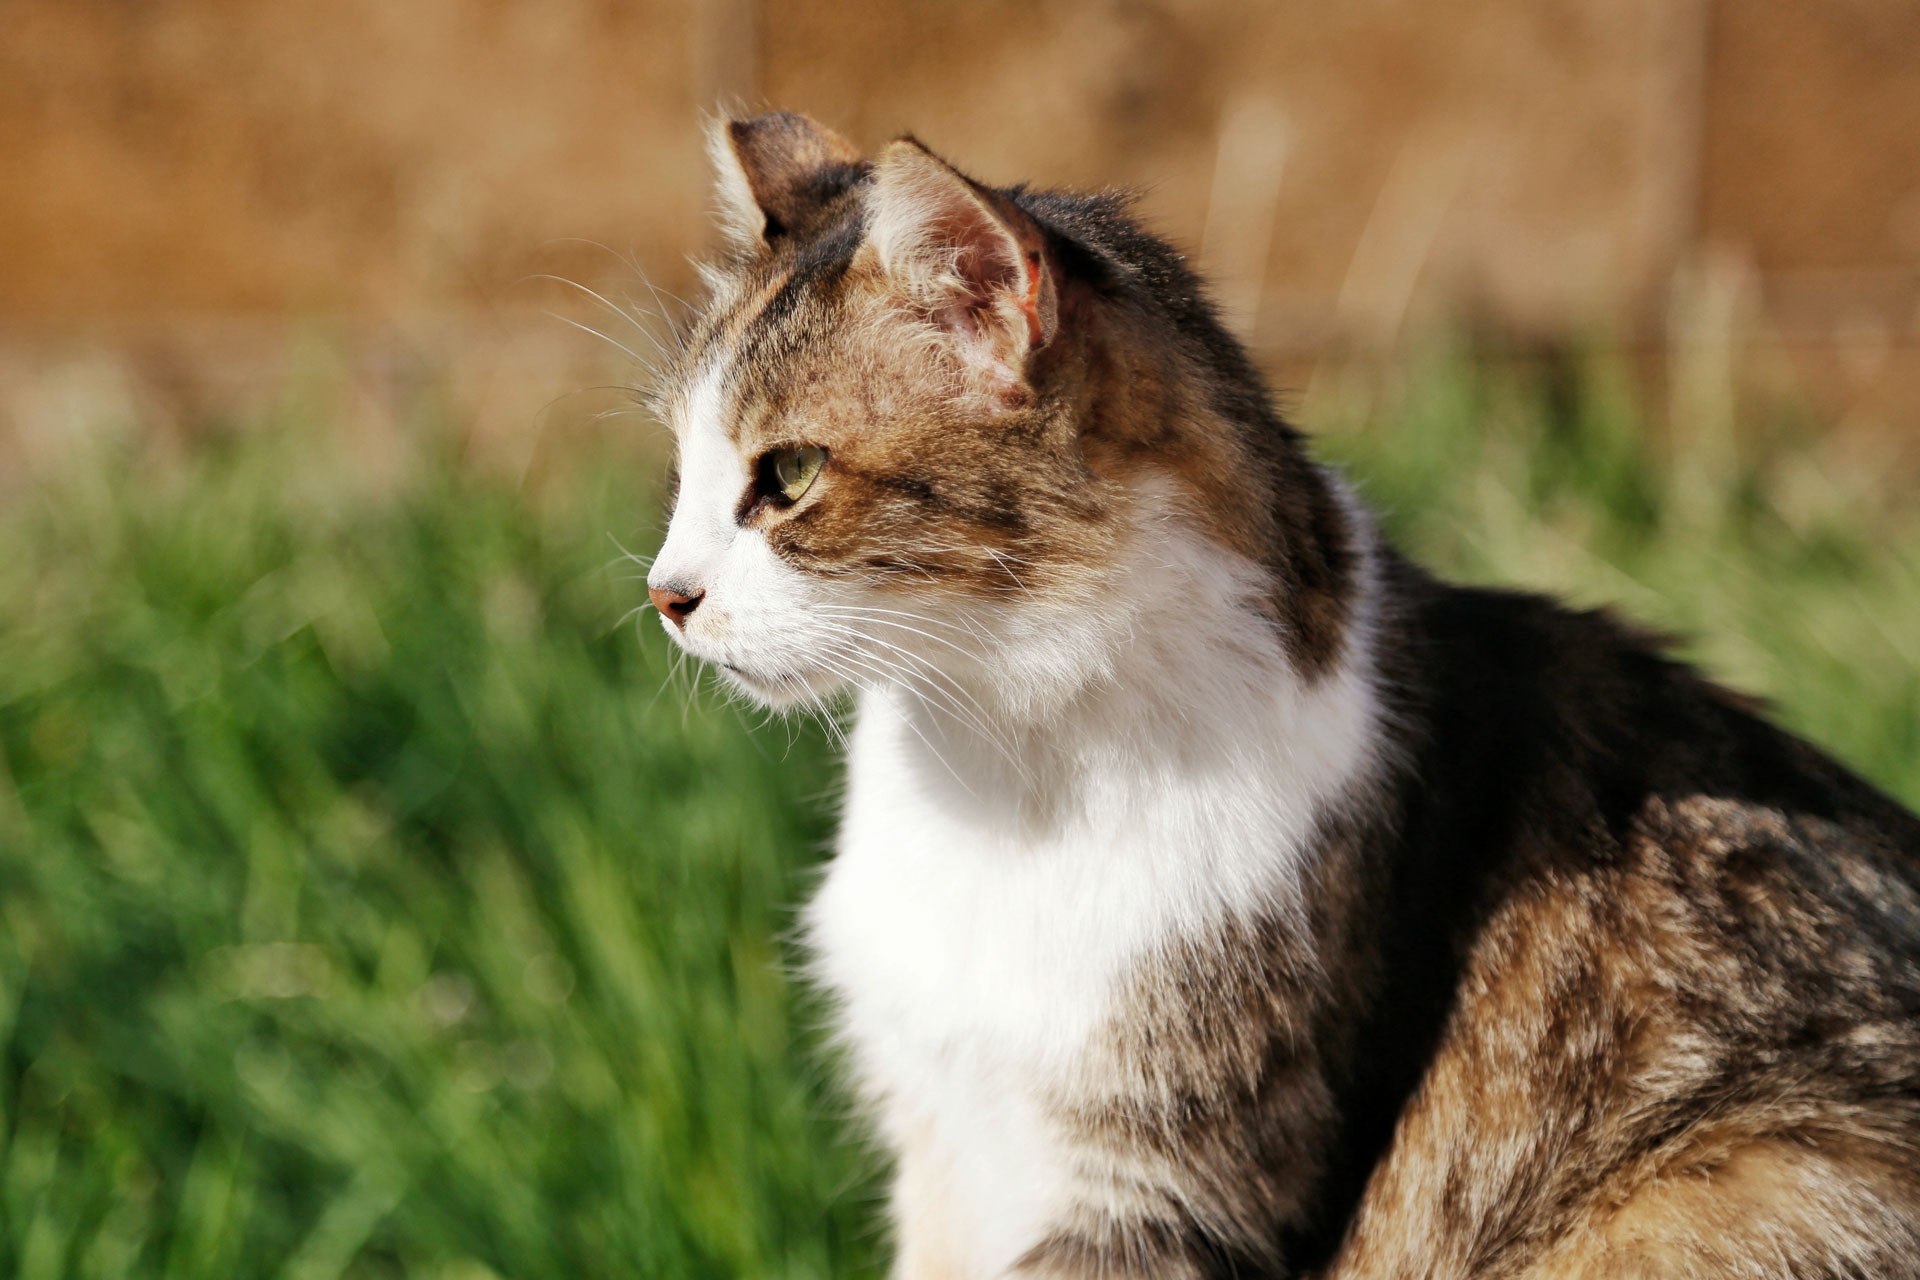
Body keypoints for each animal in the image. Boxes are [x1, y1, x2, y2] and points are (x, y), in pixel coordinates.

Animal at [641, 112, 1920, 1280]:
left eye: (788, 474)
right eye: (683, 467)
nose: (664, 593)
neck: (999, 769)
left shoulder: (1166, 1184)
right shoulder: (941, 1139)